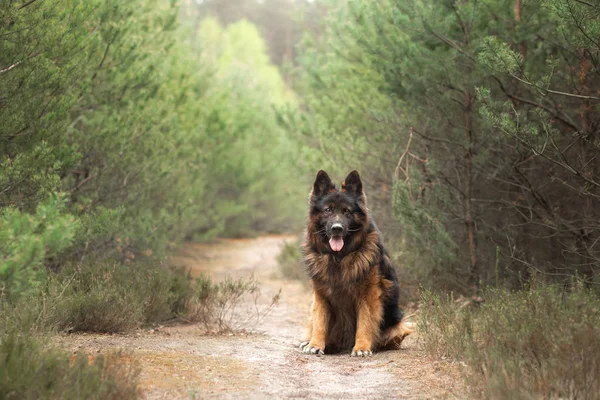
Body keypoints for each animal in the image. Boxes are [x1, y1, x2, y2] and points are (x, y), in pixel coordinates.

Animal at [300, 169, 412, 356]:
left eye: (347, 211)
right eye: (328, 210)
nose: (336, 228)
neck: (339, 257)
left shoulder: (368, 294)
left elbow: (365, 322)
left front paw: (362, 347)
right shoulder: (321, 294)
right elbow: (319, 321)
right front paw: (315, 344)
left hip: (399, 324)